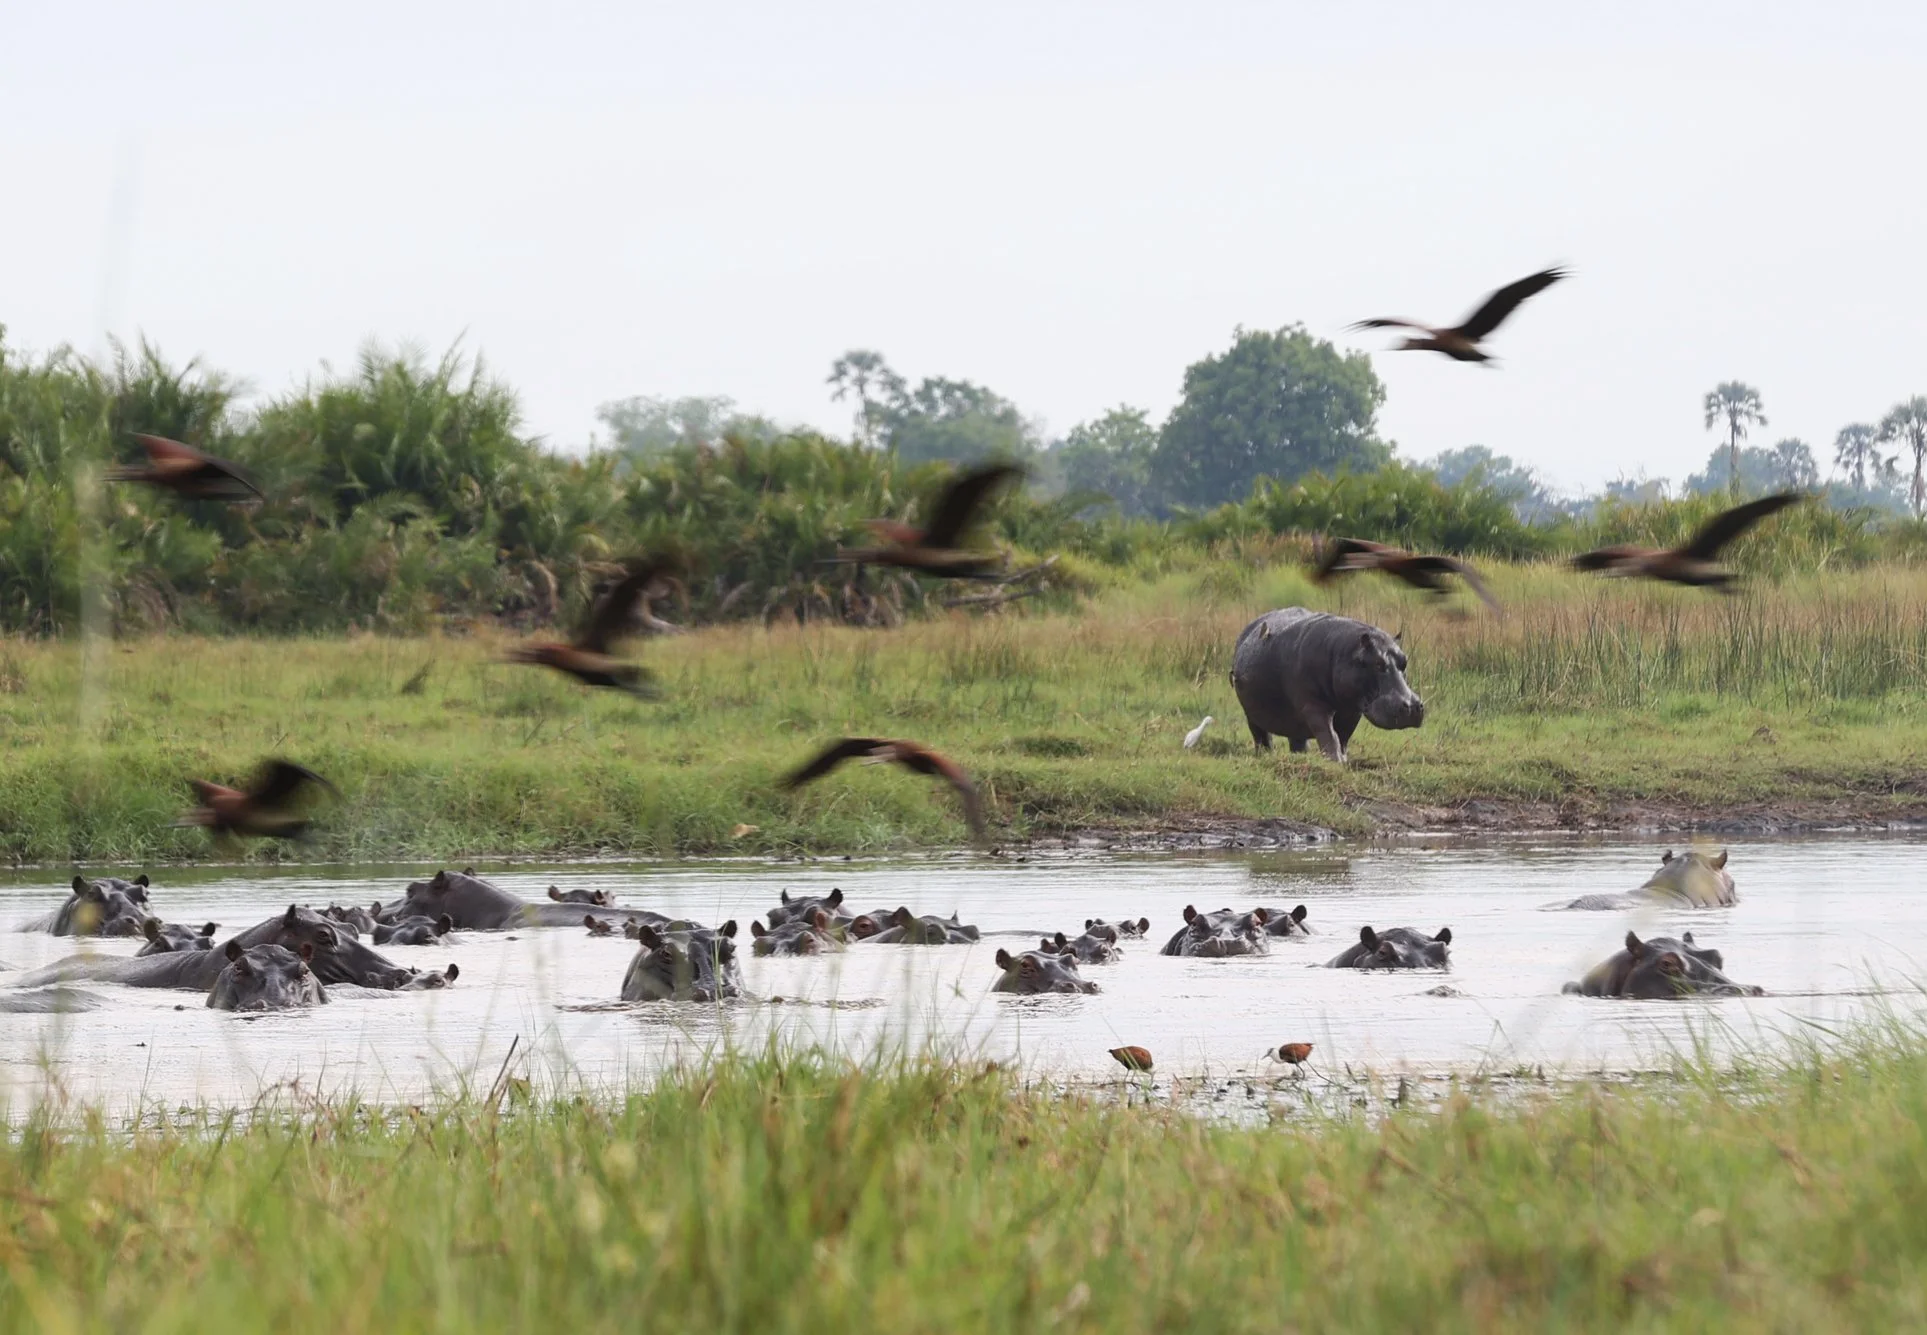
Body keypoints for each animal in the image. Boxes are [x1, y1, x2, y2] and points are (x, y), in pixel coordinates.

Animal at [1230, 608, 1424, 760]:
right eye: (1378, 664)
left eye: (1405, 661)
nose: (1412, 706)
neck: (1344, 652)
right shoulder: (1313, 705)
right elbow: (1329, 734)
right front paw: (1334, 760)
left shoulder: (1352, 710)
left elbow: (1344, 736)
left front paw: (1344, 760)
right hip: (1251, 713)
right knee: (1261, 735)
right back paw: (1265, 754)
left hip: (1293, 717)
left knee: (1297, 737)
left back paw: (1300, 755)